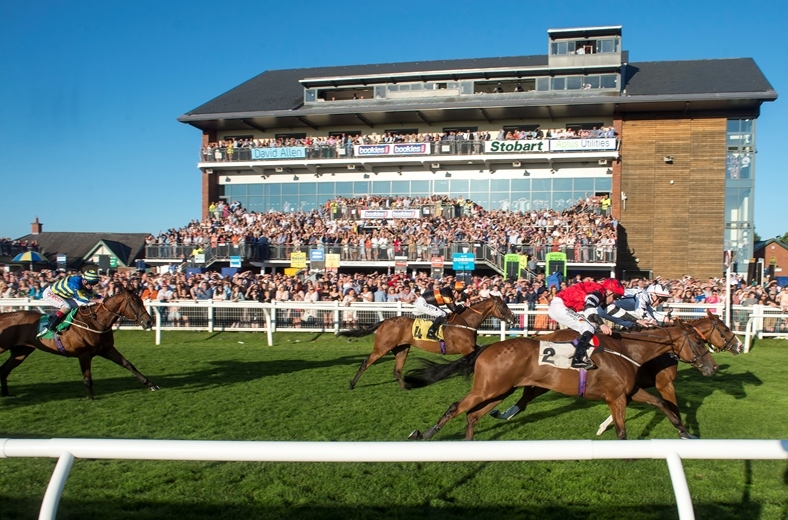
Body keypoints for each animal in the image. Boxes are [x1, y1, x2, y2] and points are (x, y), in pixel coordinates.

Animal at [0, 290, 160, 400]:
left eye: (141, 301)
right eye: (135, 303)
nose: (149, 322)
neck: (95, 322)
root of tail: (4, 315)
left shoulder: (107, 349)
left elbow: (128, 364)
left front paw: (151, 384)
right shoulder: (84, 355)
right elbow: (87, 378)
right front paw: (91, 398)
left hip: (21, 351)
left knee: (4, 369)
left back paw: (6, 394)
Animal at [338, 296, 516, 390]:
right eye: (503, 305)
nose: (513, 318)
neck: (466, 322)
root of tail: (384, 322)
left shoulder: (471, 348)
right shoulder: (467, 348)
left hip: (402, 349)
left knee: (397, 371)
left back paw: (406, 388)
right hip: (382, 347)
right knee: (365, 363)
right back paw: (352, 384)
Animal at [406, 322, 716, 440]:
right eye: (700, 342)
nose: (712, 367)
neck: (629, 350)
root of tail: (487, 347)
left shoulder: (630, 391)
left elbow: (661, 404)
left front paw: (686, 432)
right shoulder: (616, 398)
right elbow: (621, 430)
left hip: (498, 390)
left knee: (472, 415)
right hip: (488, 388)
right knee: (456, 407)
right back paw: (425, 434)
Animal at [490, 308, 740, 438]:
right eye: (725, 330)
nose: (714, 367)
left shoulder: (633, 387)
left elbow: (653, 404)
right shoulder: (663, 384)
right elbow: (672, 405)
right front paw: (685, 432)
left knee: (526, 396)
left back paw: (502, 413)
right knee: (525, 396)